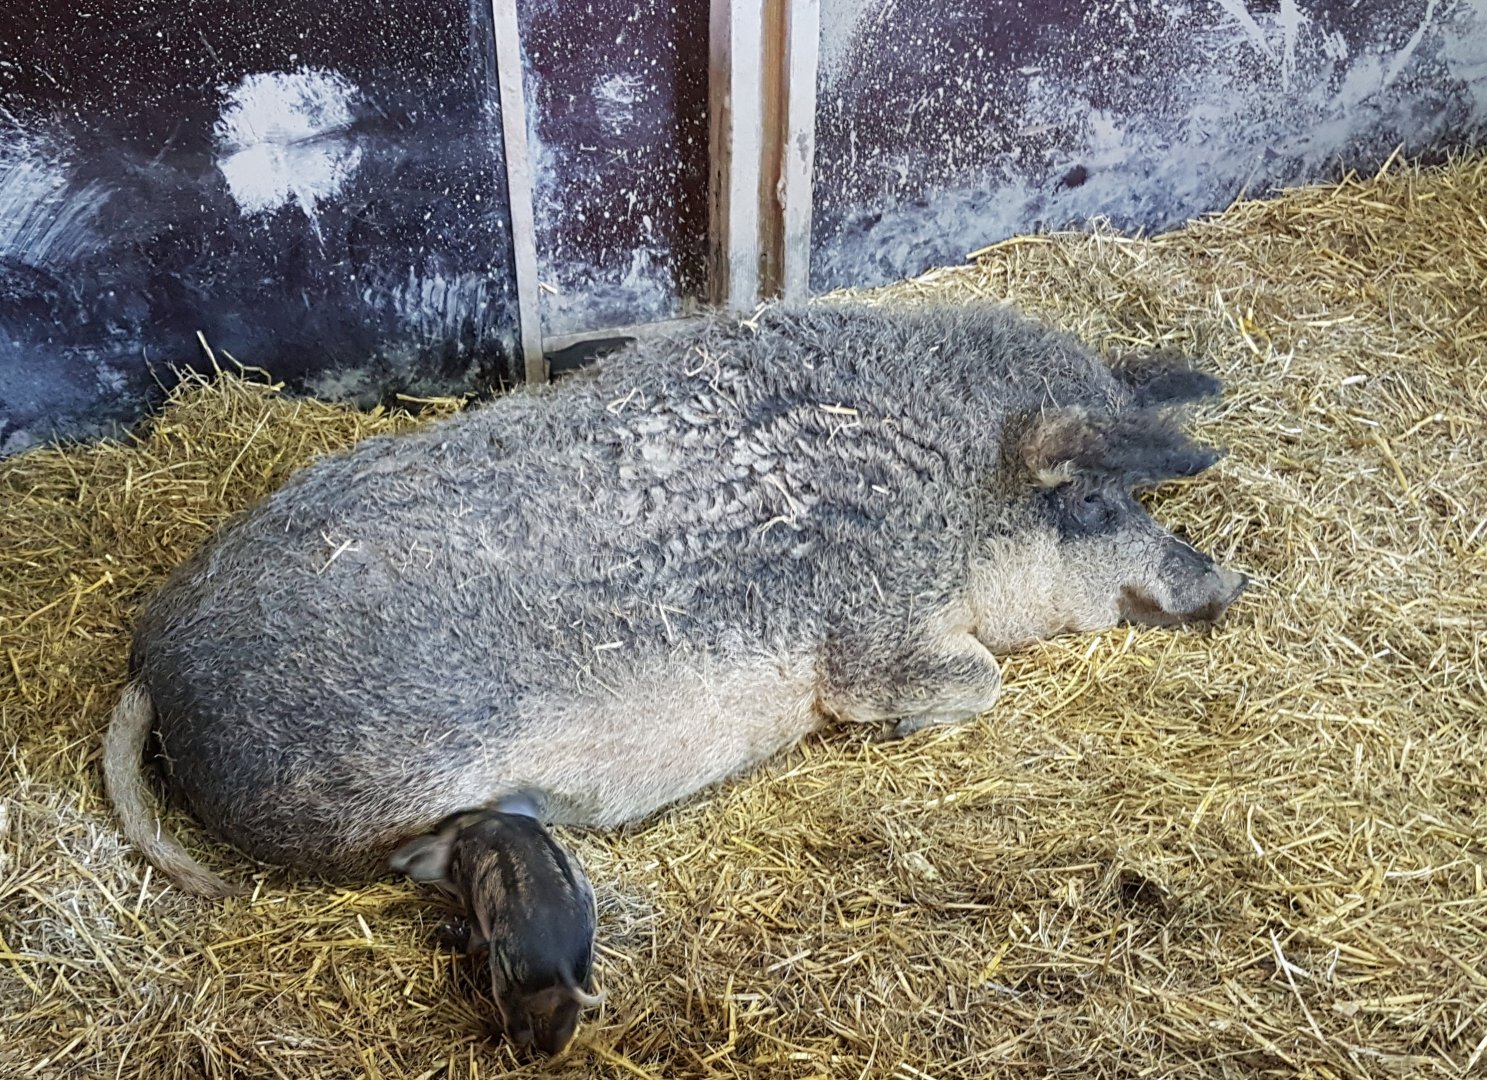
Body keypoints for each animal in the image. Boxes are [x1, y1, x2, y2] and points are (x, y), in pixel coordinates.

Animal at [101, 301, 1246, 899]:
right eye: (1091, 499)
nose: (1224, 581)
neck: (947, 492)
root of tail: (155, 657)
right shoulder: (875, 629)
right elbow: (975, 679)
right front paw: (896, 734)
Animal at [389, 801, 602, 1056]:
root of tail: (562, 965)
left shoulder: (469, 891)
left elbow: (475, 937)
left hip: (505, 981)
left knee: (520, 1029)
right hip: (579, 986)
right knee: (562, 1033)